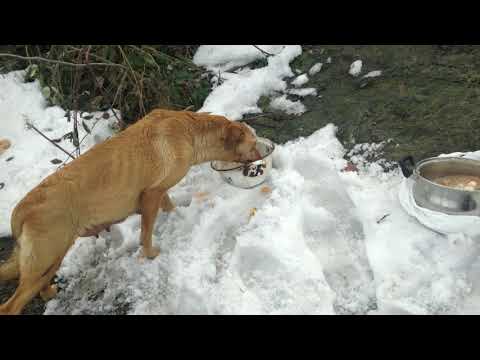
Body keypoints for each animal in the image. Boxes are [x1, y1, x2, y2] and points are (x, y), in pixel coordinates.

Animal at [0, 109, 260, 316]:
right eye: (254, 142)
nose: (264, 155)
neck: (190, 131)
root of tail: (22, 209)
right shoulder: (150, 196)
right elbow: (146, 234)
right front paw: (151, 255)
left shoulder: (159, 191)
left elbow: (169, 205)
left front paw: (176, 216)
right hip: (46, 258)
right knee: (10, 306)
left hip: (50, 261)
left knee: (41, 289)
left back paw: (51, 292)